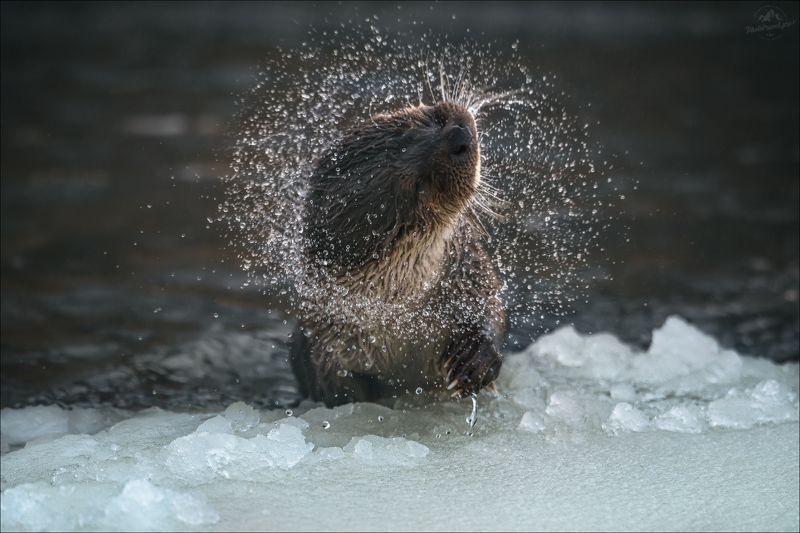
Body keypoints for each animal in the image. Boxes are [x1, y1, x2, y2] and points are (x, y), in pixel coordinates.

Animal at [290, 101, 505, 406]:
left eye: (410, 129)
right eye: (417, 186)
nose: (459, 137)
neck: (407, 314)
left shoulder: (467, 268)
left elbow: (491, 310)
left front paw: (475, 362)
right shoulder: (326, 340)